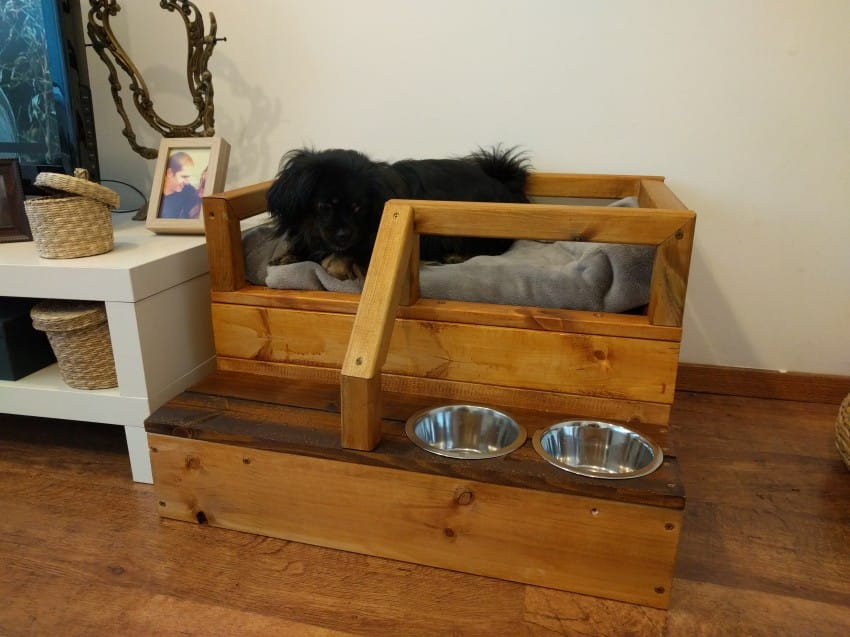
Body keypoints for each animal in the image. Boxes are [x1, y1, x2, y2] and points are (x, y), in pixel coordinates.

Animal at [266, 149, 528, 280]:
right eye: (324, 206)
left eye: (358, 207)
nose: (343, 234)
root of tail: (503, 185)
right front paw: (289, 255)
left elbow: (342, 256)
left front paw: (337, 263)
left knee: (494, 248)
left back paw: (456, 256)